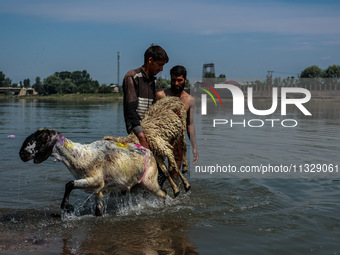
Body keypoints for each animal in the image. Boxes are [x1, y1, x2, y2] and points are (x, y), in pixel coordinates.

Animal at [18, 128, 173, 216]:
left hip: (149, 180)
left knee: (163, 193)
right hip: (137, 186)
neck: (80, 155)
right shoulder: (98, 191)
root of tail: (150, 152)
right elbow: (98, 211)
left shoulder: (95, 181)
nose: (22, 154)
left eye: (41, 138)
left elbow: (69, 184)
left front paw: (66, 207)